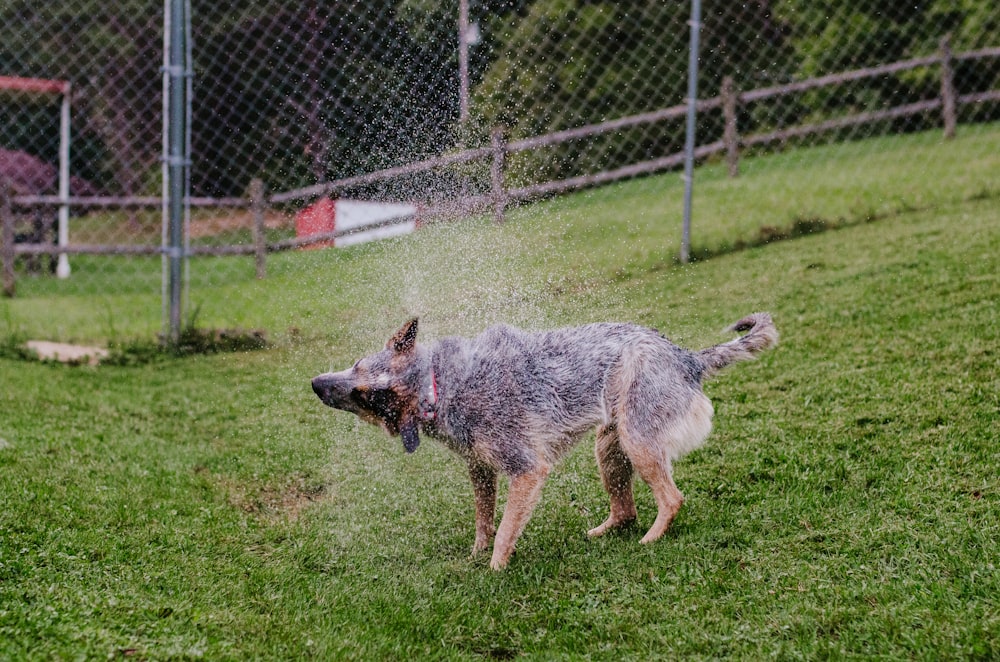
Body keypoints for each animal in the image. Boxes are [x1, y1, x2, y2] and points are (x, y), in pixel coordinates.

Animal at [308, 316, 776, 572]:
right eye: (356, 368)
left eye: (364, 396)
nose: (314, 384)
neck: (437, 386)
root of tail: (687, 356)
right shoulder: (480, 468)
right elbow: (484, 522)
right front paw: (476, 554)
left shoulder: (527, 470)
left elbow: (504, 532)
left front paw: (494, 570)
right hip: (610, 447)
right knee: (625, 509)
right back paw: (606, 531)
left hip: (638, 440)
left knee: (672, 498)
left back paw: (652, 539)